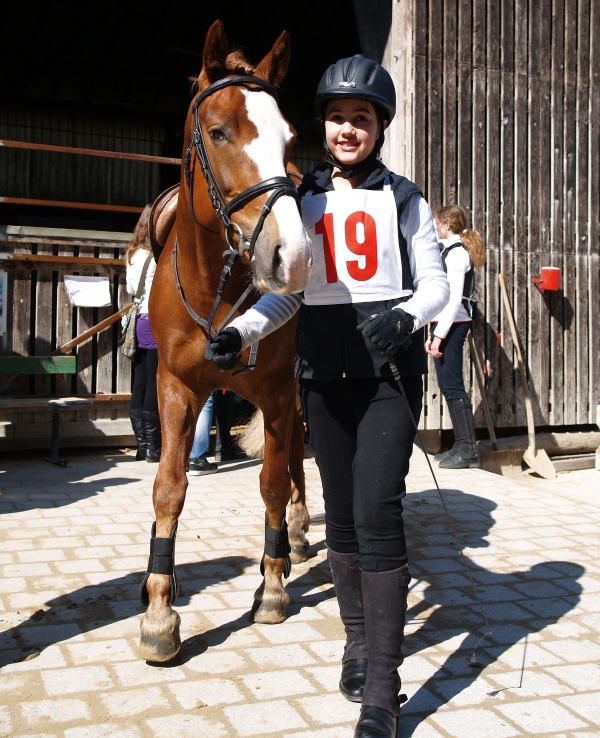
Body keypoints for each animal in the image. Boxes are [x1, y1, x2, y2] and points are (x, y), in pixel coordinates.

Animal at [138, 19, 313, 663]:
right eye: (218, 132)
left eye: (289, 137)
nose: (292, 256)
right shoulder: (176, 388)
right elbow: (169, 489)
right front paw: (159, 612)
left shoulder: (276, 390)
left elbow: (270, 481)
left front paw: (272, 585)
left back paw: (295, 533)